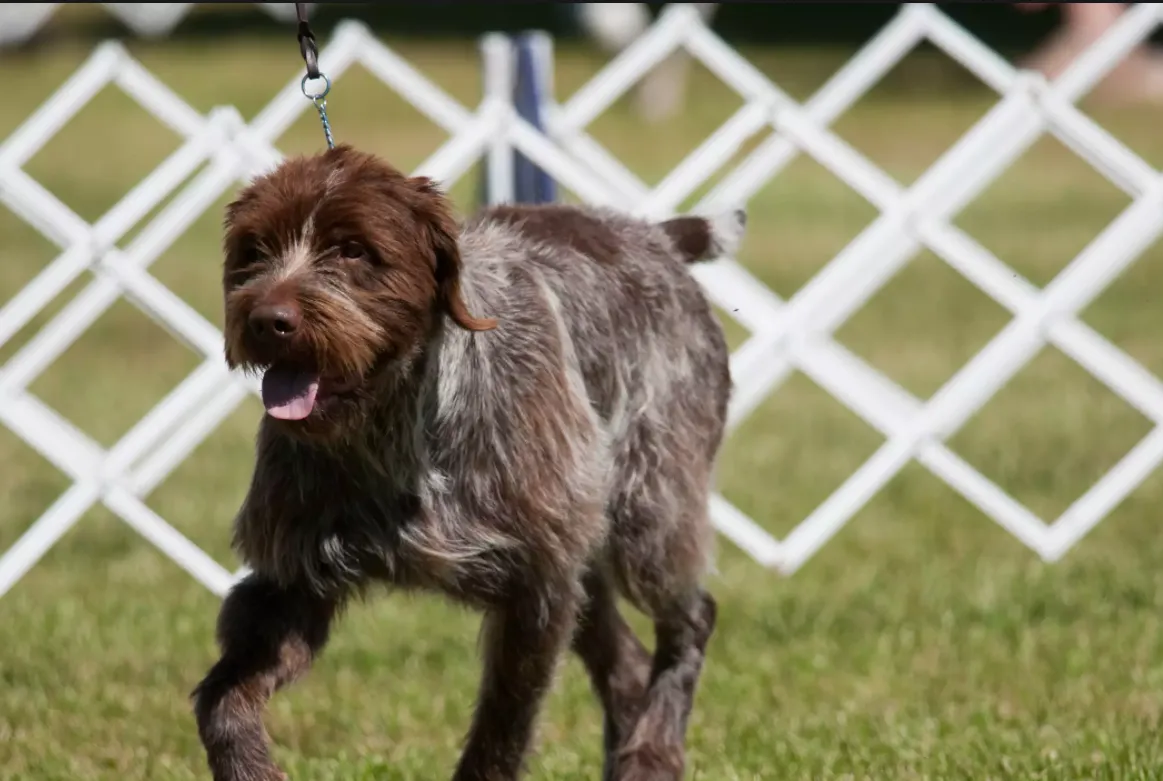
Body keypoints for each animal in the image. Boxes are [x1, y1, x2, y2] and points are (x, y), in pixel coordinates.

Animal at [188, 141, 744, 781]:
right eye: (255, 249)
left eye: (352, 249)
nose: (268, 321)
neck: (394, 429)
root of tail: (655, 236)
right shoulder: (295, 574)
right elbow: (223, 700)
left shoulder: (536, 586)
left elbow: (500, 733)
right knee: (627, 664)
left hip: (649, 514)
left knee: (693, 617)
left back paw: (653, 753)